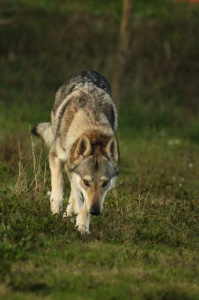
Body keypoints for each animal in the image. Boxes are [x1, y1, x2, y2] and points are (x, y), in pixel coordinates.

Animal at [30, 70, 118, 234]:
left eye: (105, 183)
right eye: (86, 182)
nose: (96, 212)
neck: (92, 129)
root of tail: (88, 71)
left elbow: (82, 202)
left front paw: (82, 225)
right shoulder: (55, 156)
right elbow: (59, 182)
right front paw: (56, 206)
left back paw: (70, 213)